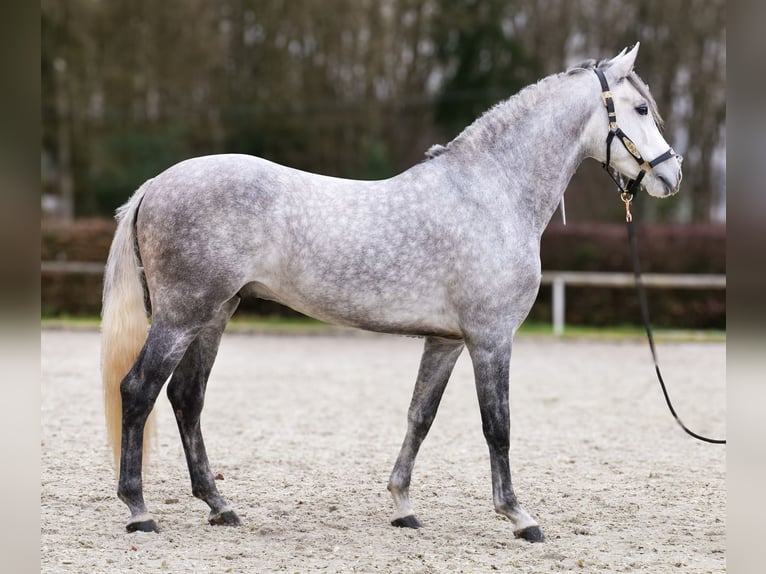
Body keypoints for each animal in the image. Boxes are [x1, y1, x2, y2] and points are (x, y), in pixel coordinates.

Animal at [101, 43, 682, 542]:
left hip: (215, 313)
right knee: (139, 390)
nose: (671, 174)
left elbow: (420, 417)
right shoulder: (491, 338)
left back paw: (219, 506)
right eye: (640, 108)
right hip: (181, 316)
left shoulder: (447, 341)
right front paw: (519, 517)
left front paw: (402, 506)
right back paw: (138, 510)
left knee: (186, 398)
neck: (490, 194)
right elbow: (497, 426)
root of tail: (155, 186)